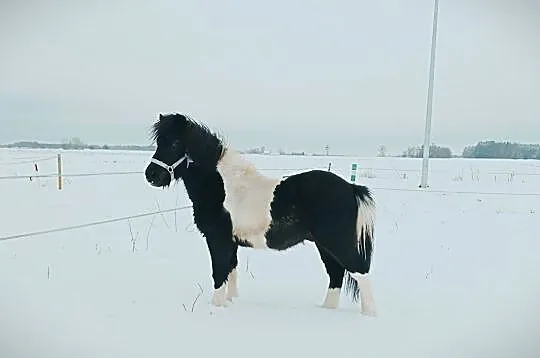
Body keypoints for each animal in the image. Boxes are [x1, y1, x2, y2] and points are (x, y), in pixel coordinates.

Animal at [146, 112, 378, 316]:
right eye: (159, 142)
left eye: (175, 143)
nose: (151, 175)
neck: (221, 186)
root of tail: (351, 188)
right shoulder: (231, 241)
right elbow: (231, 271)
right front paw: (230, 303)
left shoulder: (217, 239)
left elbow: (219, 272)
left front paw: (216, 307)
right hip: (325, 246)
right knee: (336, 276)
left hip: (338, 243)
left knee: (361, 275)